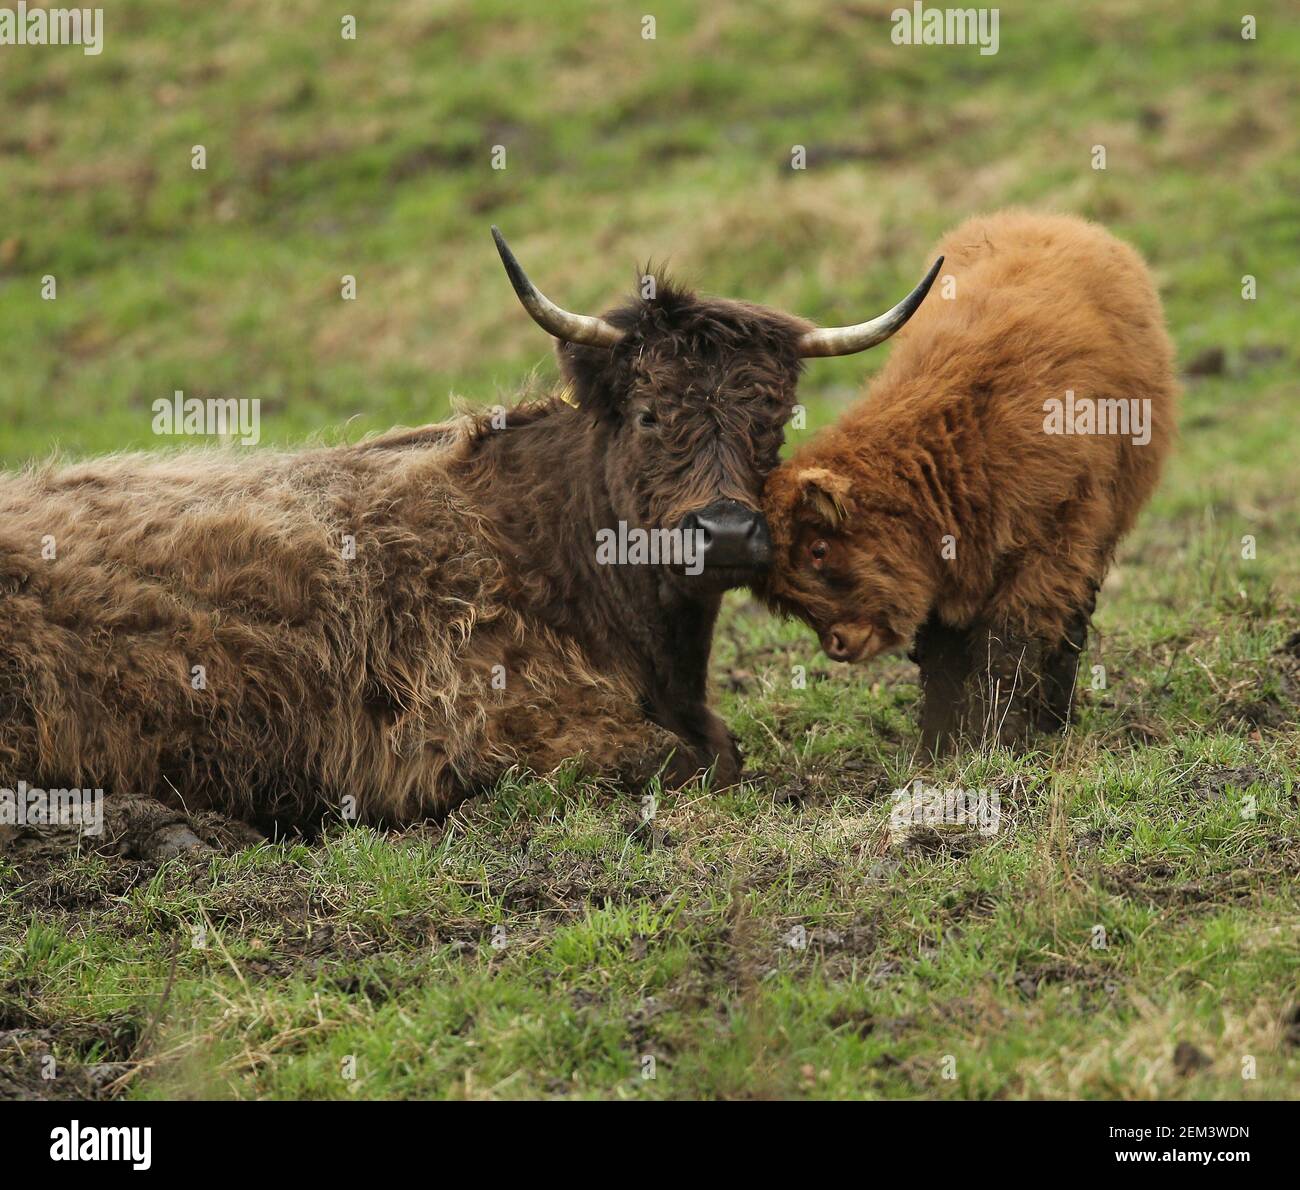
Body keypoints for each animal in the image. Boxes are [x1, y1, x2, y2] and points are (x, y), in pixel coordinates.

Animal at [759, 213, 1180, 749]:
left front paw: (996, 741)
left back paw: (1055, 721)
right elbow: (940, 656)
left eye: (818, 548)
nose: (837, 644)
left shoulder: (1051, 547)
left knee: (1071, 629)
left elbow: (1010, 645)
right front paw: (937, 746)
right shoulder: (941, 565)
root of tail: (1057, 220)